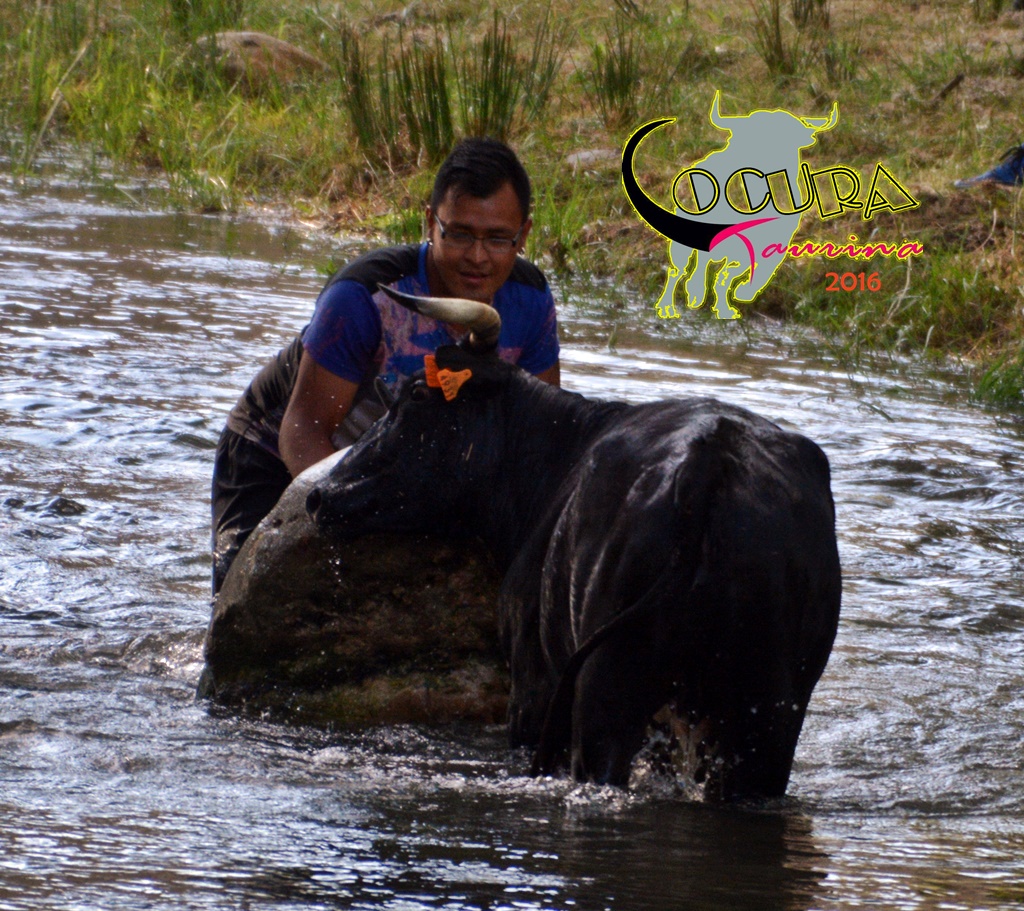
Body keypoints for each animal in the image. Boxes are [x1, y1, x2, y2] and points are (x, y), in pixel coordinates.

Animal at [306, 286, 841, 801]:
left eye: (418, 393)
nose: (318, 495)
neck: (557, 451)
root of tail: (709, 459)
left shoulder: (530, 680)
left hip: (604, 691)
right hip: (768, 712)